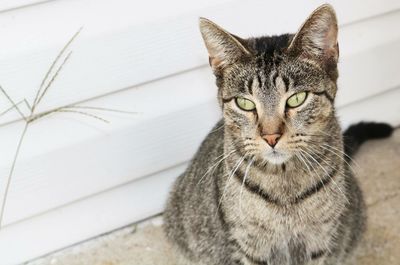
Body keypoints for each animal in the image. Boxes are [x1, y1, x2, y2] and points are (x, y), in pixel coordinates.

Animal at [163, 4, 394, 264]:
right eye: (245, 103)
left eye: (297, 99)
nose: (271, 137)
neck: (284, 186)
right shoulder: (249, 245)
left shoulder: (319, 240)